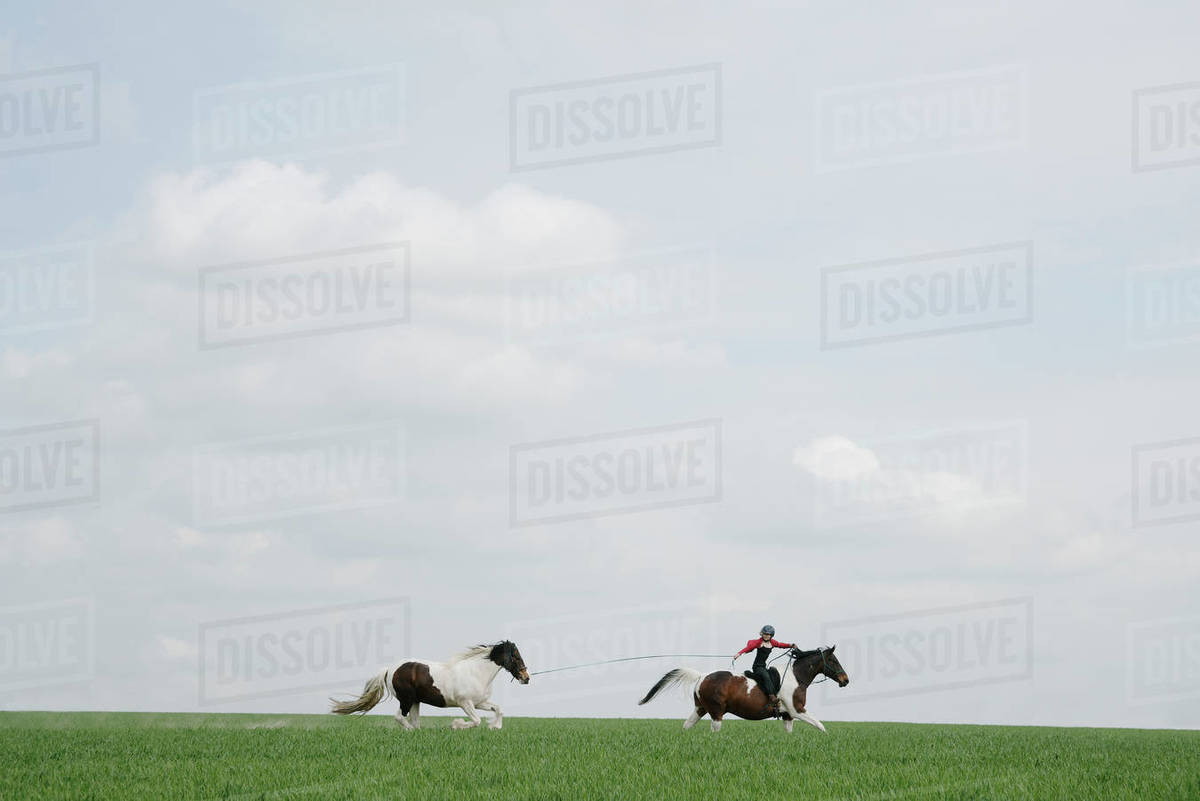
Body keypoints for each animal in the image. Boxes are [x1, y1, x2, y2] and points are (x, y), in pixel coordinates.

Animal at [330, 640, 530, 730]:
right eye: (516, 656)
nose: (526, 677)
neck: (477, 672)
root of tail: (390, 670)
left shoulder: (479, 702)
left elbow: (498, 709)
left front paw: (495, 726)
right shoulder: (465, 703)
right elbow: (476, 721)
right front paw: (456, 725)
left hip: (415, 701)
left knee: (414, 720)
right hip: (406, 700)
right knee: (400, 717)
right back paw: (411, 731)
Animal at [638, 645, 849, 733]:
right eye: (833, 660)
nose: (845, 680)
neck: (796, 677)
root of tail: (701, 676)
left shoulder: (788, 716)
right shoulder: (797, 710)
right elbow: (820, 726)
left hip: (700, 708)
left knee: (686, 726)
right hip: (716, 712)